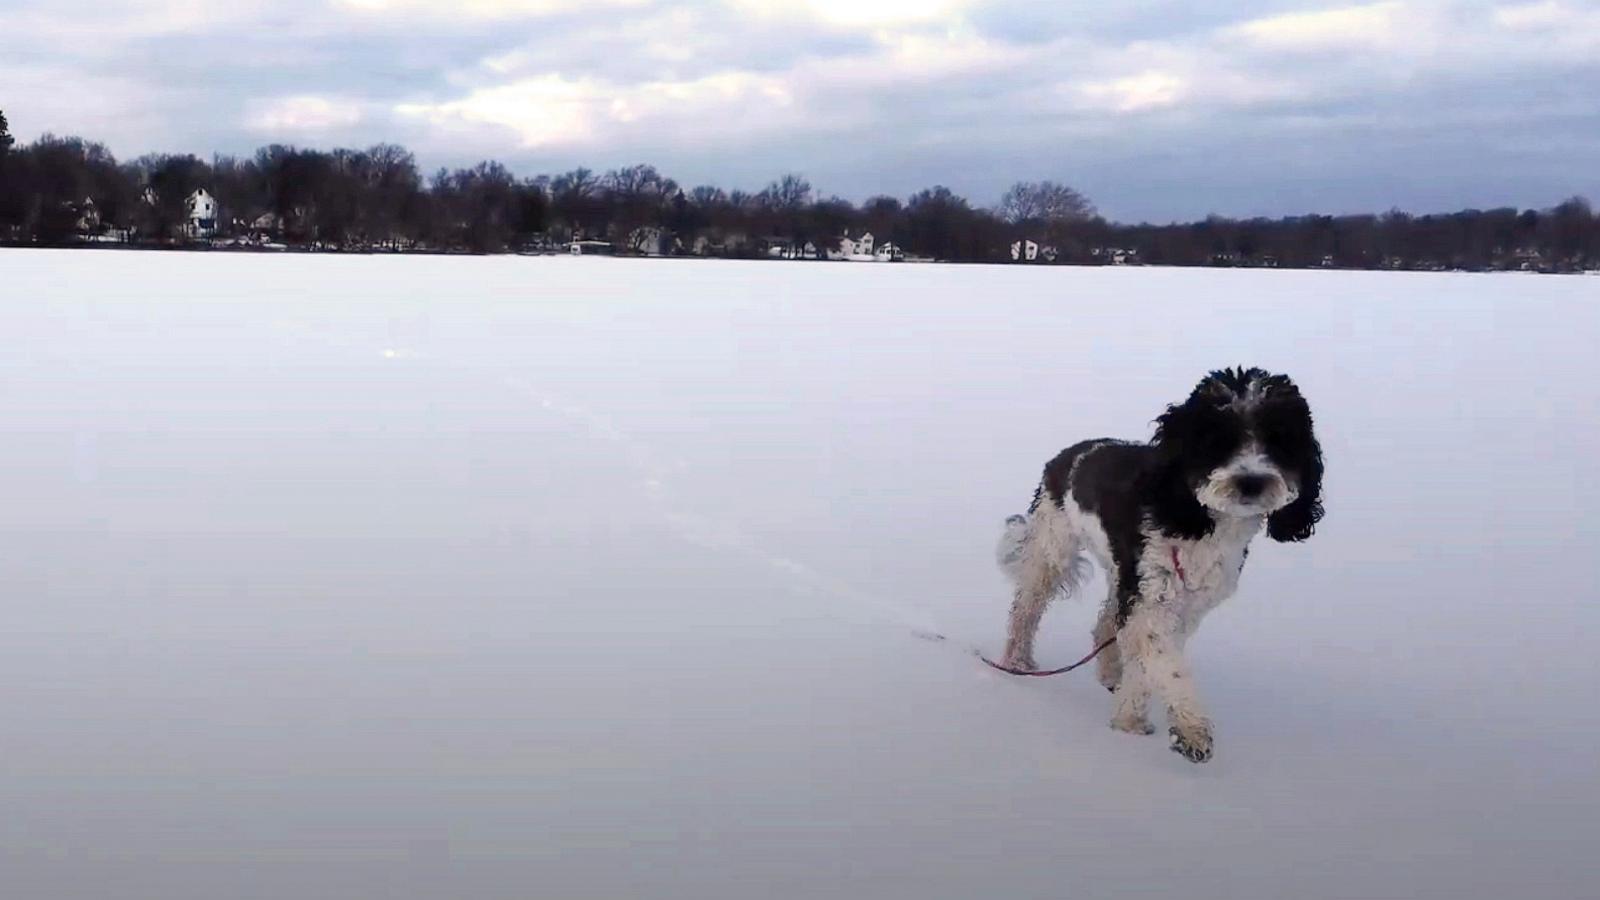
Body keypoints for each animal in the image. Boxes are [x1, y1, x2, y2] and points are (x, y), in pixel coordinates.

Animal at [998, 368, 1324, 759]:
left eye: (1279, 439)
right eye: (1217, 439)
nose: (1251, 482)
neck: (1199, 521)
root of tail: (1068, 455)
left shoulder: (1184, 605)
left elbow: (1146, 663)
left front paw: (1129, 721)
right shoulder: (1152, 600)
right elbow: (1166, 663)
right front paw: (1190, 729)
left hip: (1120, 572)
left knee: (1105, 624)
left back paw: (1110, 673)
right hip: (1053, 549)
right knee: (1026, 609)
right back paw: (1017, 662)